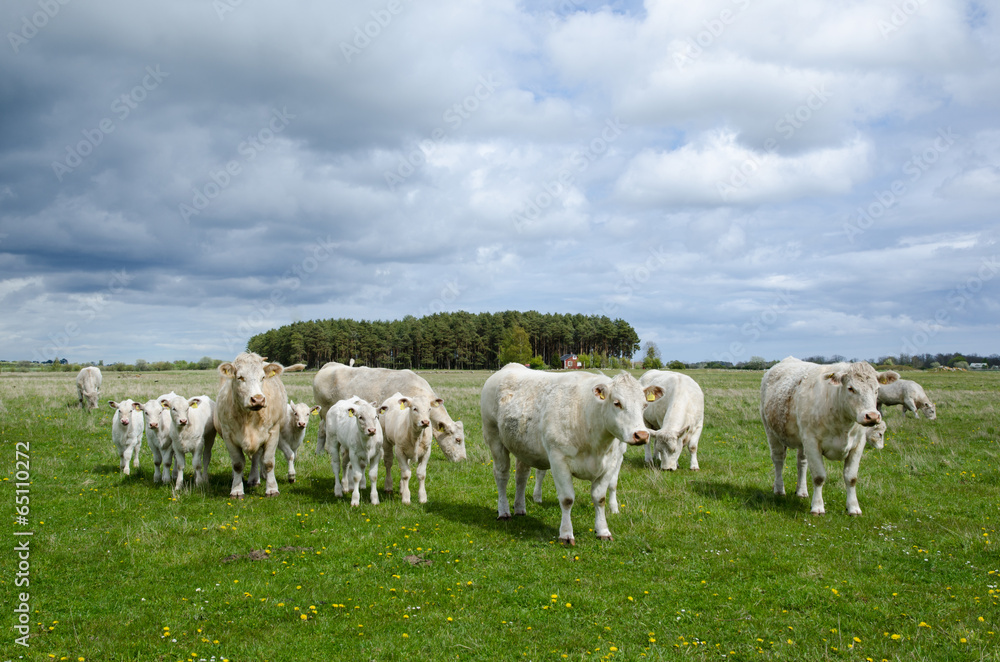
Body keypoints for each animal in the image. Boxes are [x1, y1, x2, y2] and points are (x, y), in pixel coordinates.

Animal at [214, 353, 303, 499]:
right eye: (240, 377)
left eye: (262, 377)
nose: (258, 399)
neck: (248, 417)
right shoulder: (228, 435)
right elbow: (237, 463)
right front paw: (237, 490)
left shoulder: (273, 433)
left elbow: (268, 462)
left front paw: (272, 489)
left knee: (256, 458)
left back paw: (255, 479)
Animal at [312, 362, 465, 463]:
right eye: (458, 439)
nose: (463, 460)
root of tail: (330, 365)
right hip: (324, 411)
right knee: (323, 430)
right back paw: (322, 451)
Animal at [480, 364, 663, 545]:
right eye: (617, 403)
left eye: (644, 405)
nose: (641, 435)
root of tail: (507, 368)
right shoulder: (558, 460)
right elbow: (567, 499)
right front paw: (566, 534)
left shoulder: (610, 463)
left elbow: (600, 498)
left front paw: (603, 531)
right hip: (495, 438)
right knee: (502, 475)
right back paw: (504, 511)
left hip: (522, 447)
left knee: (521, 476)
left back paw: (519, 508)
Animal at [760, 356, 898, 516]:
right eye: (851, 388)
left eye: (877, 390)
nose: (872, 416)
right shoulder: (812, 442)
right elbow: (819, 477)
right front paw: (817, 507)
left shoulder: (858, 444)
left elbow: (851, 477)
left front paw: (853, 508)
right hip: (772, 432)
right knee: (778, 460)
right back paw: (779, 489)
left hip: (803, 441)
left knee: (802, 462)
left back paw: (801, 491)